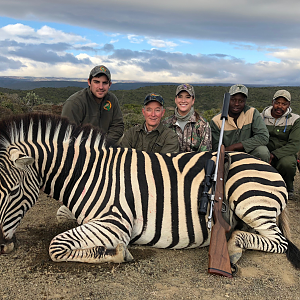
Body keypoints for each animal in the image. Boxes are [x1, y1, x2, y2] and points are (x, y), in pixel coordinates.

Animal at [0, 113, 298, 270]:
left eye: (13, 191)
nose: (2, 246)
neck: (88, 174)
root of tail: (266, 166)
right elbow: (62, 223)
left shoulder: (114, 223)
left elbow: (56, 246)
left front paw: (116, 253)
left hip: (250, 201)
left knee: (279, 242)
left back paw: (234, 247)